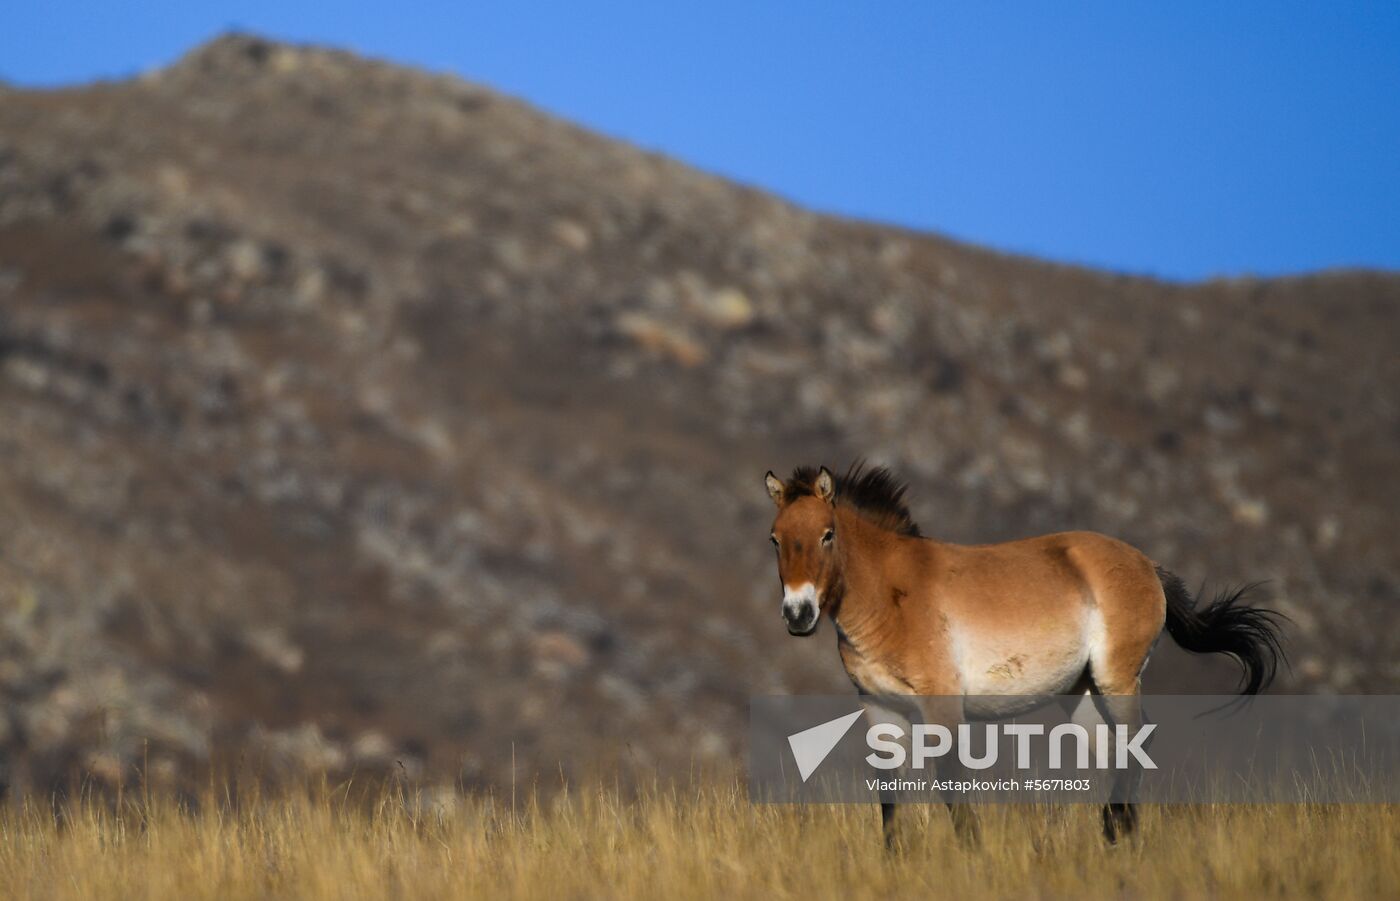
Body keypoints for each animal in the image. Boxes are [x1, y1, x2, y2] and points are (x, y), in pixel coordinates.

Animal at [767, 461, 1288, 850]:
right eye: (775, 538)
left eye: (828, 533)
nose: (797, 614)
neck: (891, 595)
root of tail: (1146, 565)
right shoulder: (878, 707)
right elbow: (889, 793)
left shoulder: (941, 705)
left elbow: (951, 779)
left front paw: (972, 854)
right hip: (1079, 694)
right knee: (1117, 750)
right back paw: (1120, 837)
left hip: (1116, 680)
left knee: (1138, 741)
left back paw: (1115, 831)